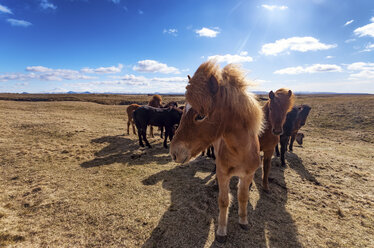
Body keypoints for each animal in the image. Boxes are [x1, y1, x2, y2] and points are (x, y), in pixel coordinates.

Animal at [169, 61, 262, 243]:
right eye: (183, 111)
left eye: (200, 115)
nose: (174, 152)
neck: (241, 152)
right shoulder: (224, 173)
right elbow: (224, 200)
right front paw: (221, 231)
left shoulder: (248, 175)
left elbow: (243, 197)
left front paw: (243, 221)